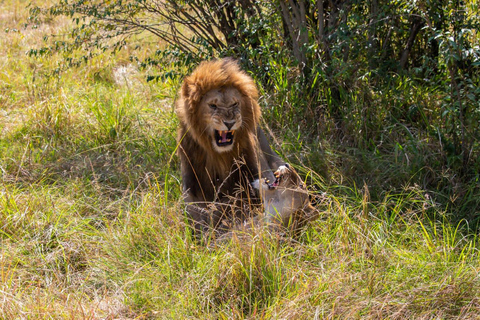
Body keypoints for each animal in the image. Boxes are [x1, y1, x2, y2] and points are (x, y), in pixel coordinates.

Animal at [176, 57, 282, 234]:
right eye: (213, 105)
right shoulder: (191, 185)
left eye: (234, 104)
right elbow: (195, 214)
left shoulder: (260, 174)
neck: (220, 154)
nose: (230, 122)